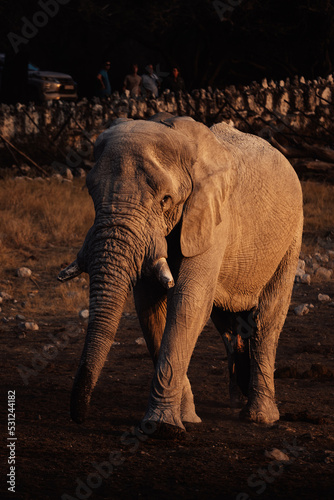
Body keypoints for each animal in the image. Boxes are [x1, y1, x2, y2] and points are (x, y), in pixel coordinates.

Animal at [57, 113, 302, 438]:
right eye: (90, 192)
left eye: (165, 199)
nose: (79, 418)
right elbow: (150, 306)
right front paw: (184, 419)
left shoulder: (213, 219)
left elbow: (188, 302)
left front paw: (162, 429)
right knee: (227, 321)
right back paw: (236, 400)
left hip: (292, 232)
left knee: (268, 316)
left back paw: (259, 417)